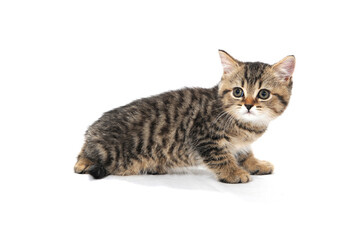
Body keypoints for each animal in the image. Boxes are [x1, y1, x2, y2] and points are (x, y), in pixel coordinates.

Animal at [74, 49, 296, 183]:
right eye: (238, 92)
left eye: (263, 94)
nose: (248, 105)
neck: (243, 124)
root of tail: (92, 130)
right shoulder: (205, 137)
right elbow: (221, 157)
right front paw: (233, 172)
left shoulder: (240, 143)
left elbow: (243, 152)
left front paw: (255, 164)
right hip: (107, 150)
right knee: (85, 152)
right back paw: (82, 162)